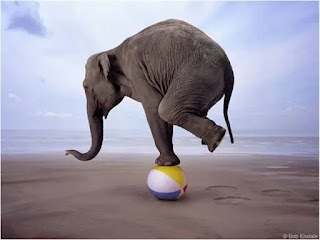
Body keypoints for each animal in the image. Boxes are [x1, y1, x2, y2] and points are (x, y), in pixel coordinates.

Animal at [65, 18, 235, 166]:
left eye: (85, 87)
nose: (66, 152)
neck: (111, 50)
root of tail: (228, 66)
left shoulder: (137, 72)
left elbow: (153, 106)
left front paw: (164, 163)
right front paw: (168, 162)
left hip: (199, 74)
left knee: (166, 110)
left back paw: (217, 140)